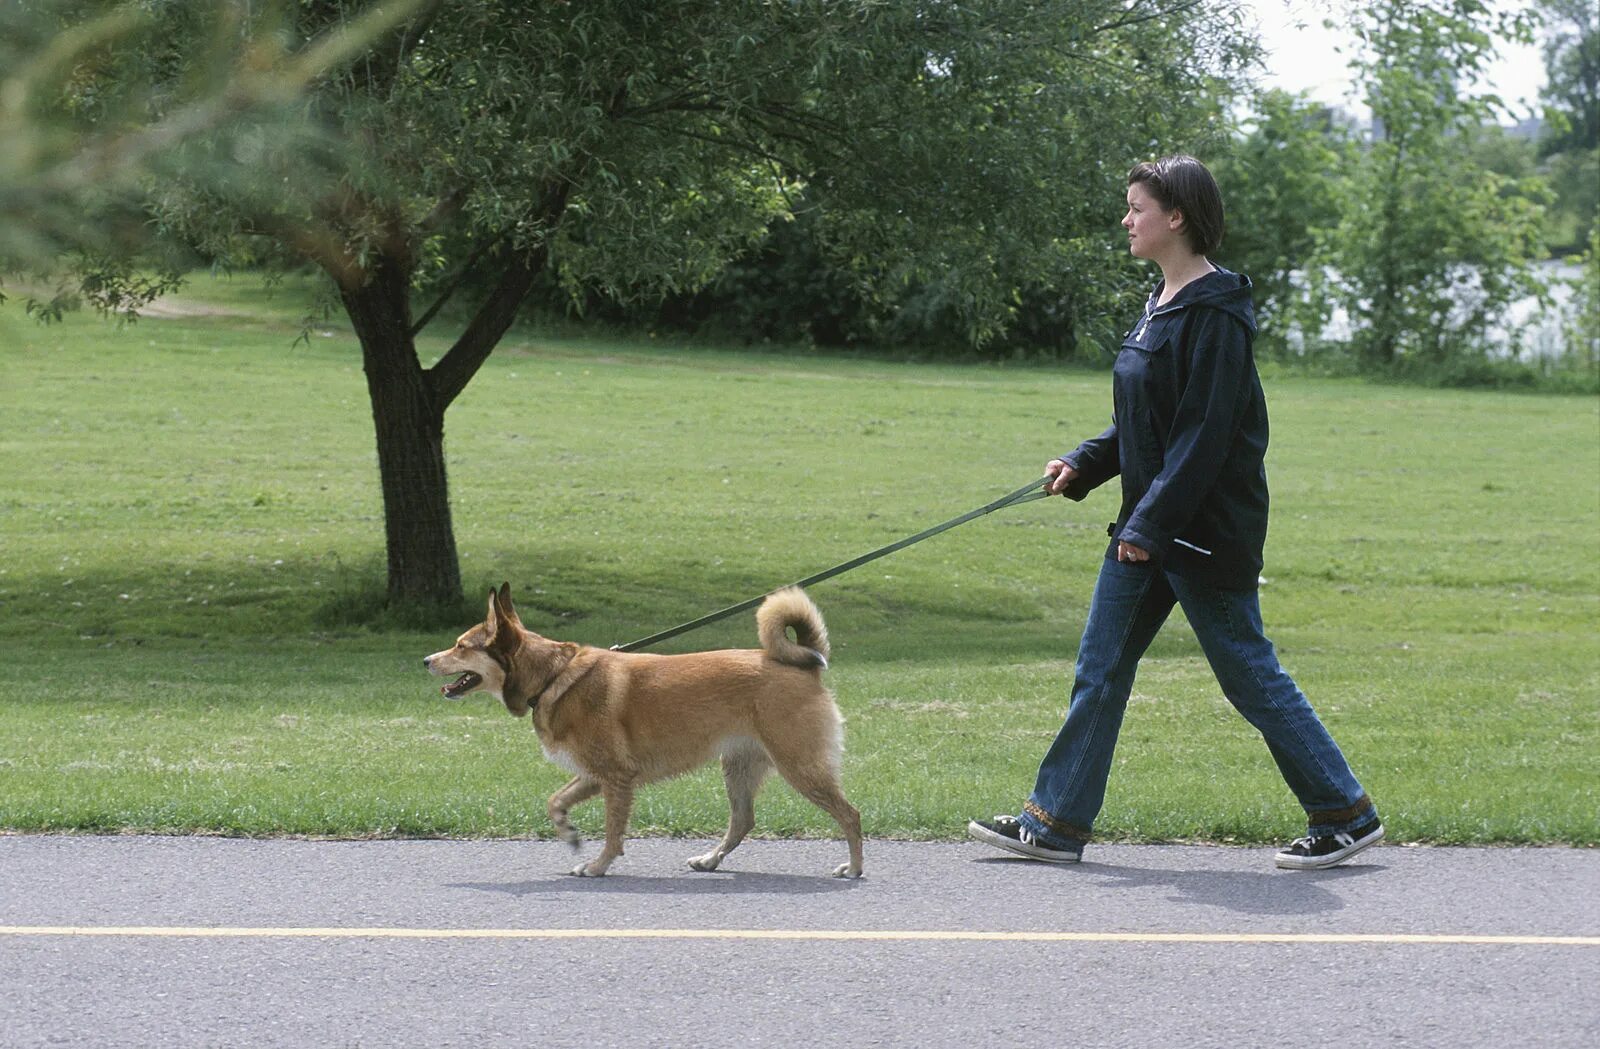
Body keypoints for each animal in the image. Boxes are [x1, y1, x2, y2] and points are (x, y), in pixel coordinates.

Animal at [419, 582, 857, 876]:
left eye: (461, 646)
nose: (425, 660)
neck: (553, 676)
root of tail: (805, 664)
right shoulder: (595, 774)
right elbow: (555, 802)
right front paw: (570, 834)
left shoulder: (616, 777)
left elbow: (614, 832)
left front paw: (597, 866)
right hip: (739, 766)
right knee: (742, 821)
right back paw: (710, 860)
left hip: (799, 765)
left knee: (850, 815)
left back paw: (854, 868)